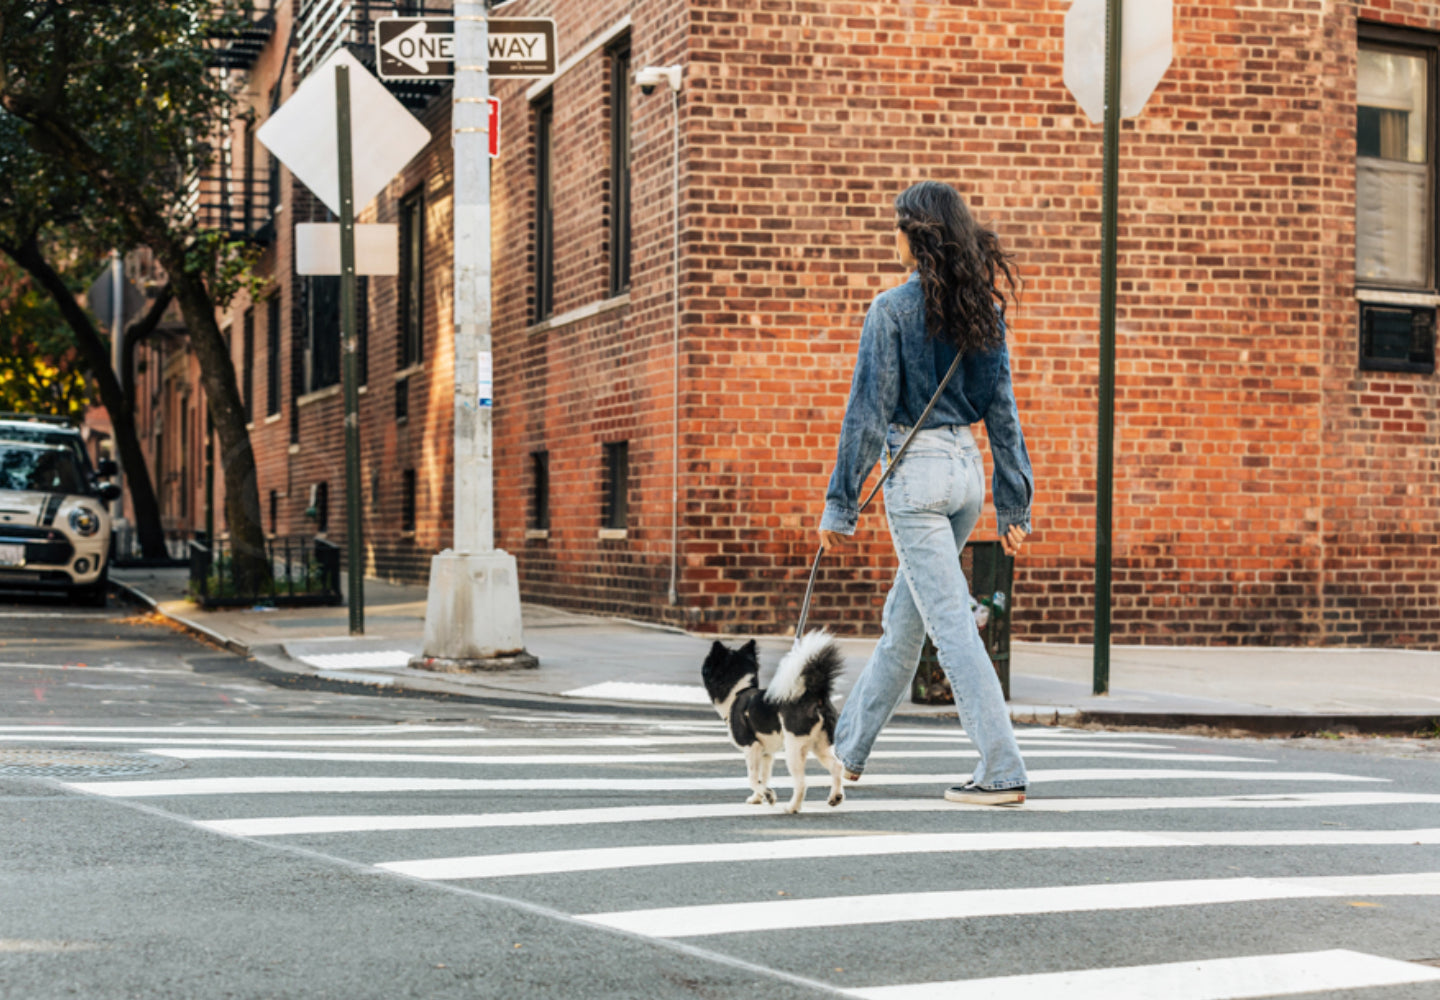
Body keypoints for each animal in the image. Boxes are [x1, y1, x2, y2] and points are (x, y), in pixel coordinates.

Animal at [696, 634, 840, 812]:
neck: (738, 691)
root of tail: (816, 695)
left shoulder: (751, 747)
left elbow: (752, 778)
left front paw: (769, 795)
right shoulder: (766, 754)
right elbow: (762, 778)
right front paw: (758, 798)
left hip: (795, 749)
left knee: (801, 783)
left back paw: (792, 808)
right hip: (821, 746)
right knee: (837, 766)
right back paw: (836, 797)